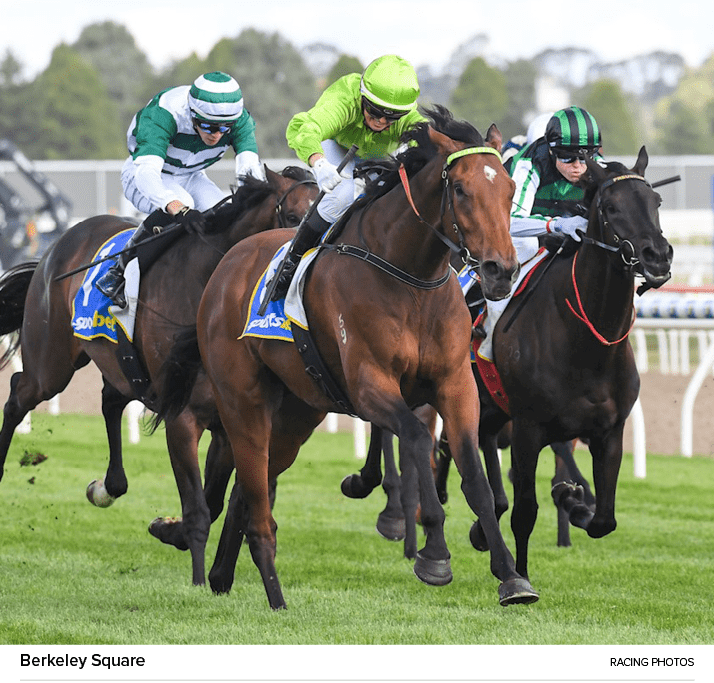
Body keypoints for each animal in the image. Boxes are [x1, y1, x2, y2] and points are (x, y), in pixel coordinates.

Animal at [0, 167, 314, 588]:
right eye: (293, 217)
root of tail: (58, 246)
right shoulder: (183, 417)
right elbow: (199, 510)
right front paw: (197, 584)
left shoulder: (228, 424)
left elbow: (215, 502)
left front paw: (173, 534)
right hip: (51, 363)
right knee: (18, 393)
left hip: (116, 361)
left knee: (110, 400)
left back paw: (108, 486)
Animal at [153, 105, 536, 608]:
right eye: (461, 189)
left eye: (509, 190)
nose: (501, 271)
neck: (411, 277)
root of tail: (226, 266)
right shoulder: (370, 385)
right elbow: (416, 439)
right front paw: (434, 554)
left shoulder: (455, 384)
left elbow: (473, 473)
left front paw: (511, 575)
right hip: (242, 403)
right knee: (252, 490)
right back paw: (263, 590)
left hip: (296, 415)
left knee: (247, 493)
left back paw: (220, 575)